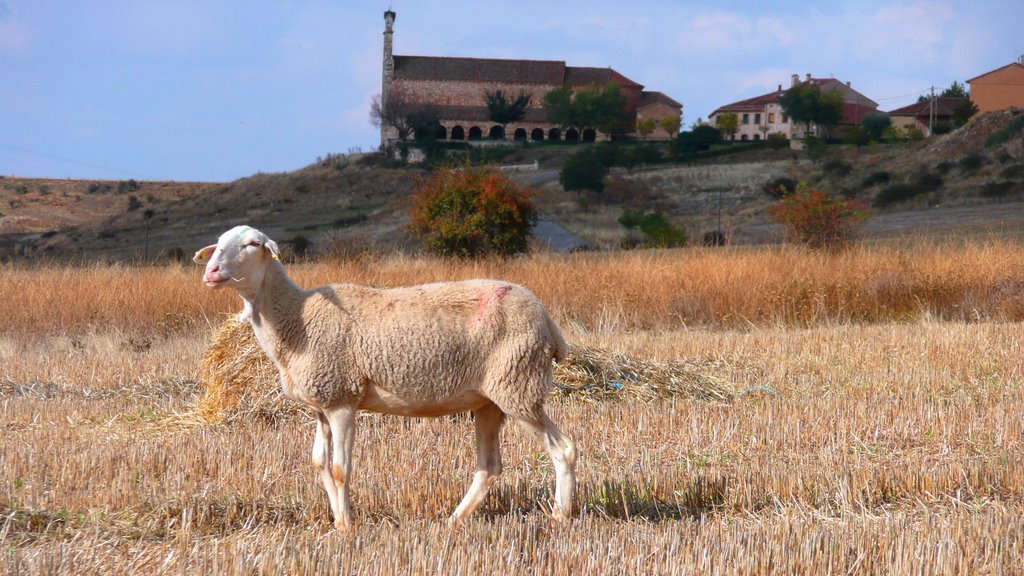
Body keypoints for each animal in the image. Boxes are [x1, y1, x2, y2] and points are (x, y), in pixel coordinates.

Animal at [192, 225, 577, 528]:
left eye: (252, 244)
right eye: (218, 243)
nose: (211, 271)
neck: (296, 318)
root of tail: (547, 321)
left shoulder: (342, 400)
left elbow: (339, 469)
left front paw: (347, 526)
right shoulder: (322, 403)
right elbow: (319, 463)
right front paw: (337, 519)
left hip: (519, 385)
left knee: (563, 448)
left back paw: (560, 514)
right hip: (490, 400)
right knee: (489, 466)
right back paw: (455, 519)